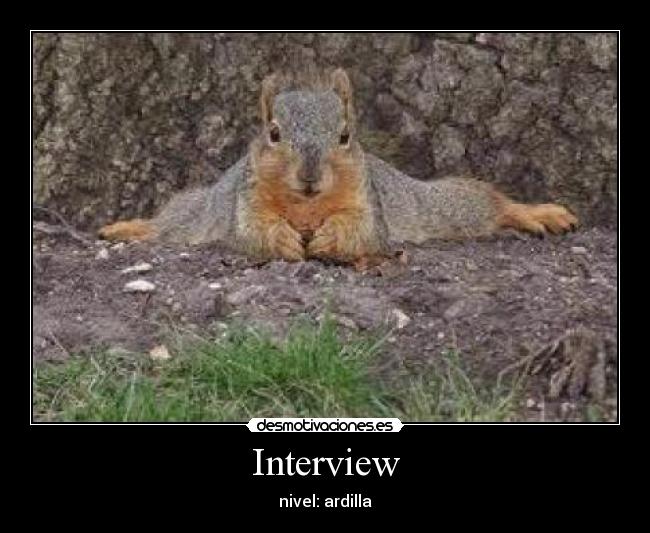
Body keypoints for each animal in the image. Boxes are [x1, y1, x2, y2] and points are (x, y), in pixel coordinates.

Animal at [98, 68, 578, 263]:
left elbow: (362, 232)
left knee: (483, 202)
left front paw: (330, 239)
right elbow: (253, 232)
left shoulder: (369, 203)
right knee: (169, 223)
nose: (310, 176)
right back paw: (129, 227)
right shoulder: (245, 200)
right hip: (197, 211)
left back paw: (537, 213)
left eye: (345, 135)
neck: (308, 205)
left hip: (435, 206)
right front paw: (284, 240)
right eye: (273, 133)